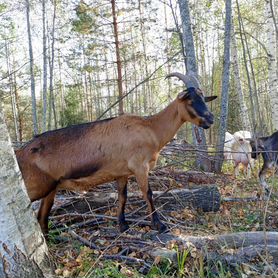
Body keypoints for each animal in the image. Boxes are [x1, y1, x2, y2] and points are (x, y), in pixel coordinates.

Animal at [15, 72, 217, 235]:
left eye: (203, 98)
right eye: (190, 100)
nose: (210, 119)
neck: (151, 129)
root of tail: (19, 152)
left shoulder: (122, 173)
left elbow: (122, 197)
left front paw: (123, 226)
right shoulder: (140, 167)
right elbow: (148, 193)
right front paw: (159, 225)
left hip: (51, 189)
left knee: (42, 217)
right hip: (34, 187)